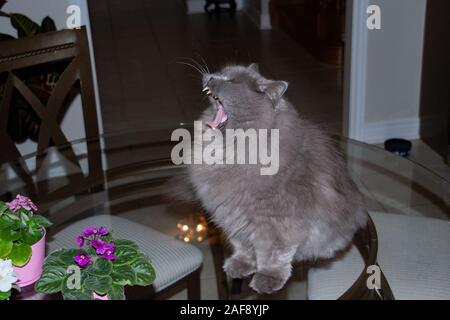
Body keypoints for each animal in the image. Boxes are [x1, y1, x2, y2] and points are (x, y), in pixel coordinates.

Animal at [168, 63, 366, 296]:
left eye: (231, 81)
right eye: (221, 72)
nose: (211, 77)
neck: (230, 150)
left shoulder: (275, 223)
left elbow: (273, 256)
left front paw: (267, 280)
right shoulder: (233, 218)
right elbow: (242, 248)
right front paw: (239, 266)